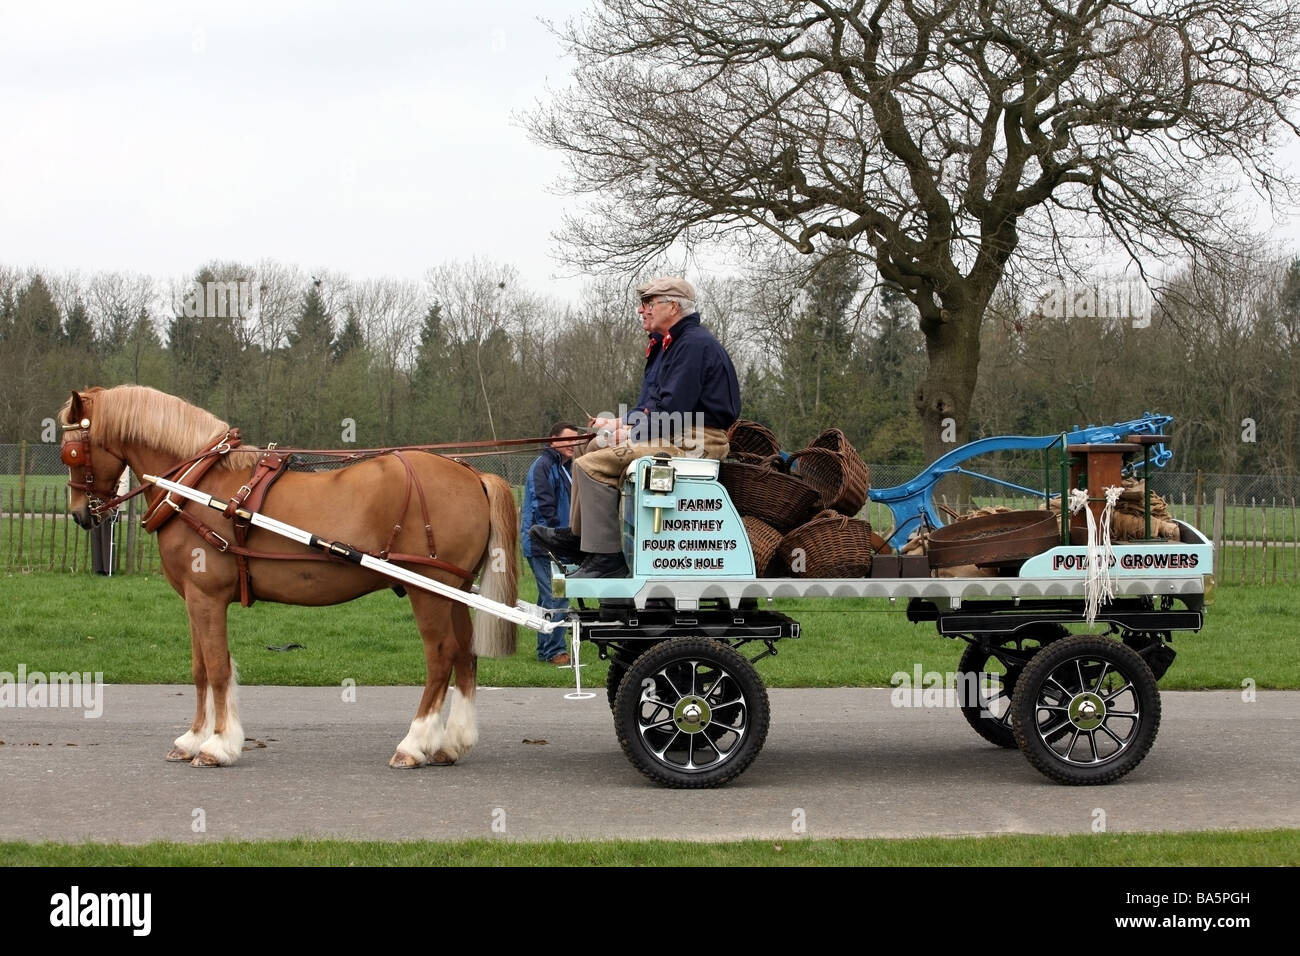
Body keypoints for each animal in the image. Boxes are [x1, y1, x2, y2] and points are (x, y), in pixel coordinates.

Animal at [58, 385, 519, 769]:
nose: (81, 514)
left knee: (440, 657)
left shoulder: (206, 596)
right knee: (465, 655)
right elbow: (200, 668)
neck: (196, 486)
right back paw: (451, 743)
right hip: (456, 590)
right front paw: (192, 739)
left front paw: (217, 745)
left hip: (429, 591)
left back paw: (414, 744)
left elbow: (218, 667)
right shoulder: (193, 599)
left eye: (72, 453)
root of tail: (472, 473)